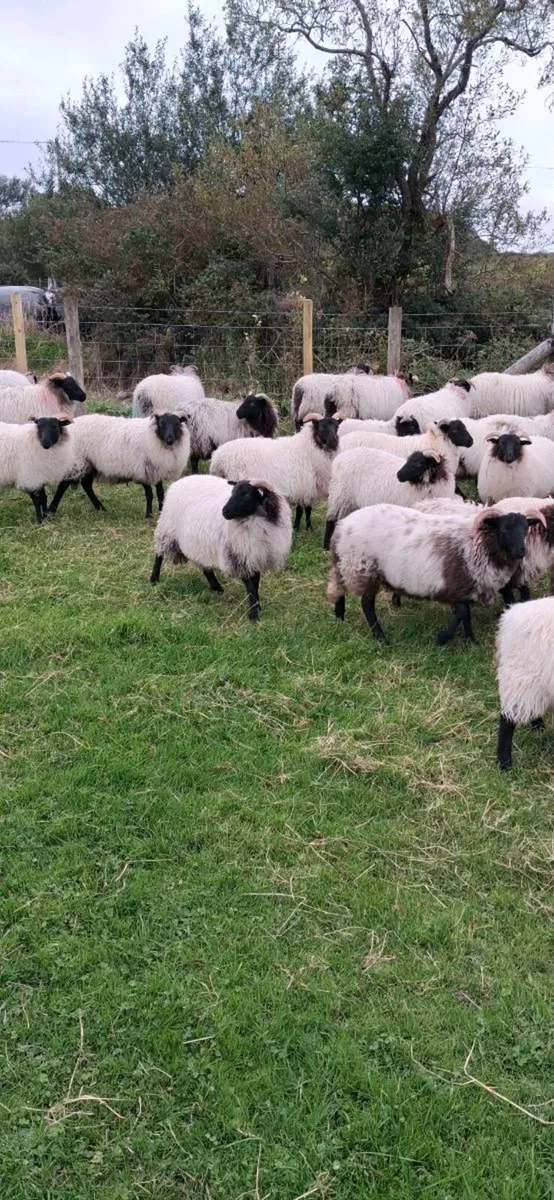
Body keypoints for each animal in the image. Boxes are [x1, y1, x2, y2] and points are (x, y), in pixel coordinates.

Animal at [48, 412, 190, 519]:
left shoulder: (156, 471)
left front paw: (160, 514)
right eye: (162, 424)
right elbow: (149, 494)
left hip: (90, 463)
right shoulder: (141, 470)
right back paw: (51, 511)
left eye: (177, 424)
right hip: (77, 460)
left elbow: (161, 494)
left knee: (86, 485)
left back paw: (101, 508)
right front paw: (148, 516)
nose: (170, 439)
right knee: (63, 485)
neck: (152, 436)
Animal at [150, 475, 292, 621]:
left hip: (200, 544)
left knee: (206, 568)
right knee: (159, 555)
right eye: (232, 492)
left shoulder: (254, 555)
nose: (224, 511)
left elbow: (256, 582)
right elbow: (251, 586)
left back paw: (217, 587)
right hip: (167, 529)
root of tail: (180, 481)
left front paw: (257, 606)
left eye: (247, 495)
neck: (254, 521)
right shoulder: (238, 555)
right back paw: (154, 579)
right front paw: (253, 615)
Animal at [210, 414, 341, 532]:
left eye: (337, 427)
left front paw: (300, 528)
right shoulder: (304, 488)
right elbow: (305, 510)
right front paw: (304, 528)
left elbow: (303, 510)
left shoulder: (305, 489)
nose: (333, 441)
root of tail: (218, 458)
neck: (309, 448)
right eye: (322, 426)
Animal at [323, 424, 458, 550]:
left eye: (419, 463)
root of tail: (339, 459)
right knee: (331, 520)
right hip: (340, 495)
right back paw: (326, 546)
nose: (398, 475)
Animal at [327, 503, 535, 644]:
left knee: (339, 588)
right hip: (364, 568)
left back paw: (340, 617)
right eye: (504, 528)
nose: (521, 552)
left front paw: (470, 640)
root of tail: (342, 526)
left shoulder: (466, 587)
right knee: (366, 604)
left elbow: (466, 615)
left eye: (526, 529)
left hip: (347, 565)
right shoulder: (454, 585)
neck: (477, 544)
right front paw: (442, 638)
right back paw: (380, 637)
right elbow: (462, 612)